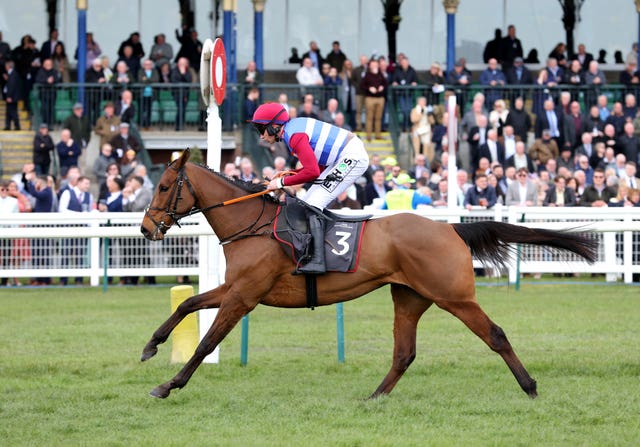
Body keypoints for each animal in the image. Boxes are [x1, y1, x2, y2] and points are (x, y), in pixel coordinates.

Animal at [138, 150, 596, 400]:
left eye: (163, 187)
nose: (145, 229)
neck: (252, 223)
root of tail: (449, 228)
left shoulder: (244, 295)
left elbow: (206, 343)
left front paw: (167, 385)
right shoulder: (235, 287)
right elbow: (189, 304)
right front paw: (151, 346)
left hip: (455, 297)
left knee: (496, 335)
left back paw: (529, 386)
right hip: (410, 297)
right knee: (404, 353)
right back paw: (374, 397)